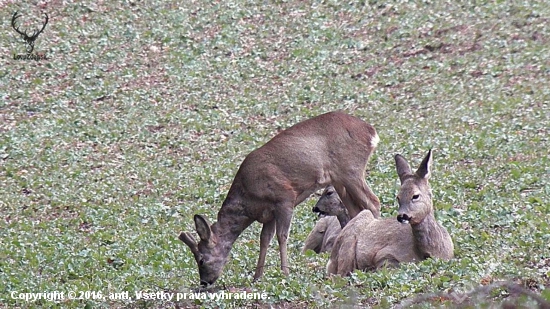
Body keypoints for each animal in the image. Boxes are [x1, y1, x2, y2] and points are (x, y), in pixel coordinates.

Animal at [179, 111, 382, 286]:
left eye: (201, 260)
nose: (205, 282)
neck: (249, 199)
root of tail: (371, 131)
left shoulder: (284, 198)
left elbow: (282, 236)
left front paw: (285, 273)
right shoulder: (268, 213)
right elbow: (264, 239)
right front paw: (257, 277)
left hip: (350, 170)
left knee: (374, 202)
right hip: (340, 180)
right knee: (358, 209)